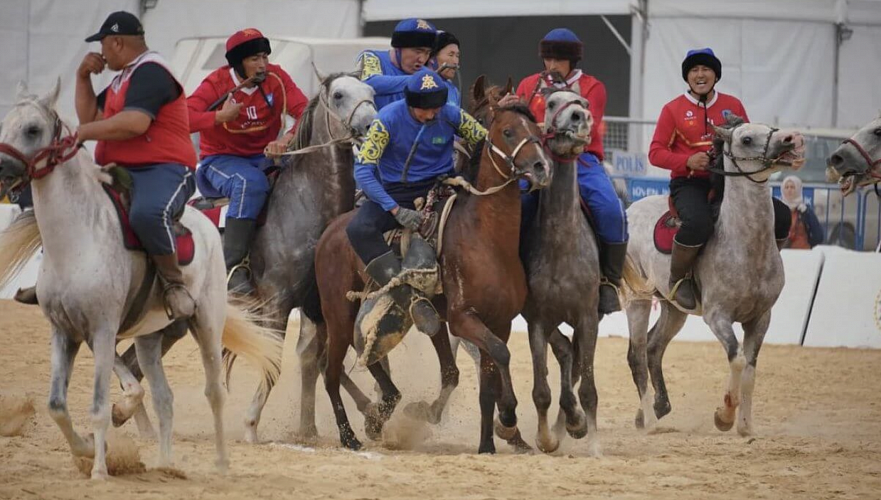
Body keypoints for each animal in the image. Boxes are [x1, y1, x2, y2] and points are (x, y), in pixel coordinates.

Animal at [0, 83, 280, 480]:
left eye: (32, 129)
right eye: (5, 124)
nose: (2, 168)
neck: (77, 238)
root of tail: (209, 224)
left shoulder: (102, 331)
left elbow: (99, 406)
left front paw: (100, 470)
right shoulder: (65, 332)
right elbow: (57, 405)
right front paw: (87, 449)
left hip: (207, 324)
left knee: (214, 392)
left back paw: (222, 463)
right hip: (150, 338)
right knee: (164, 397)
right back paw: (165, 464)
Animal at [314, 95, 552, 452]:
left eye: (537, 129)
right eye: (508, 131)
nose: (541, 167)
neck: (487, 239)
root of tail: (328, 233)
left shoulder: (499, 321)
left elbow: (488, 381)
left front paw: (489, 442)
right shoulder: (462, 318)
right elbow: (501, 354)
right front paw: (508, 417)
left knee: (363, 356)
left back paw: (379, 414)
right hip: (339, 313)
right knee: (330, 372)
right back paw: (349, 435)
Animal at [620, 119, 804, 436]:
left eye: (770, 127)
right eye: (746, 139)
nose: (790, 139)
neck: (745, 244)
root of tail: (630, 209)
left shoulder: (761, 317)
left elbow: (751, 369)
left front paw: (746, 426)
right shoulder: (718, 316)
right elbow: (737, 357)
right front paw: (724, 416)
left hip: (673, 308)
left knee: (654, 348)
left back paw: (655, 409)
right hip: (638, 300)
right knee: (638, 354)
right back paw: (651, 422)